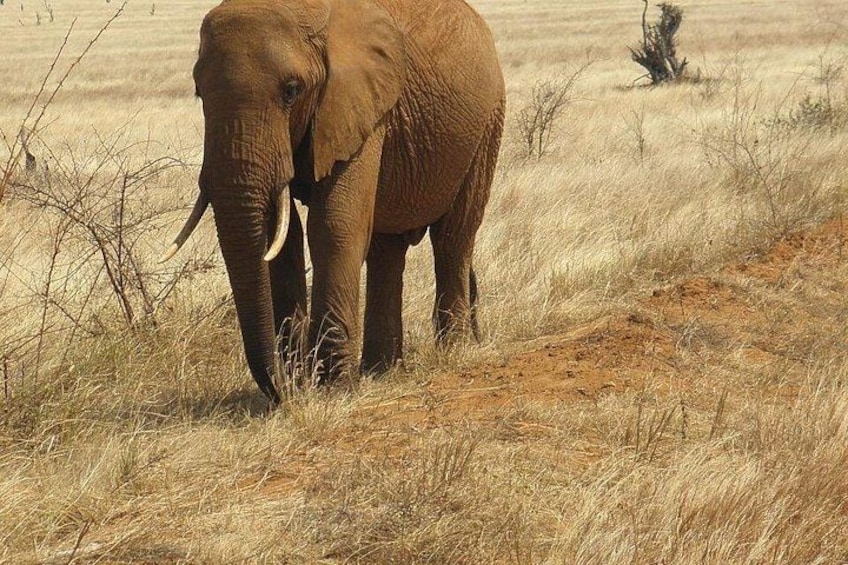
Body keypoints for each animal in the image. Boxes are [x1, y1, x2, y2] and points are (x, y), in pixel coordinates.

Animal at [163, 0, 505, 403]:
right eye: (199, 93)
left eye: (291, 91)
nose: (286, 389)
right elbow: (283, 236)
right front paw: (305, 381)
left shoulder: (359, 105)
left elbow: (334, 224)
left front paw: (334, 389)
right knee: (386, 249)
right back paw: (381, 371)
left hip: (486, 125)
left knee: (453, 236)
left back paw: (451, 352)